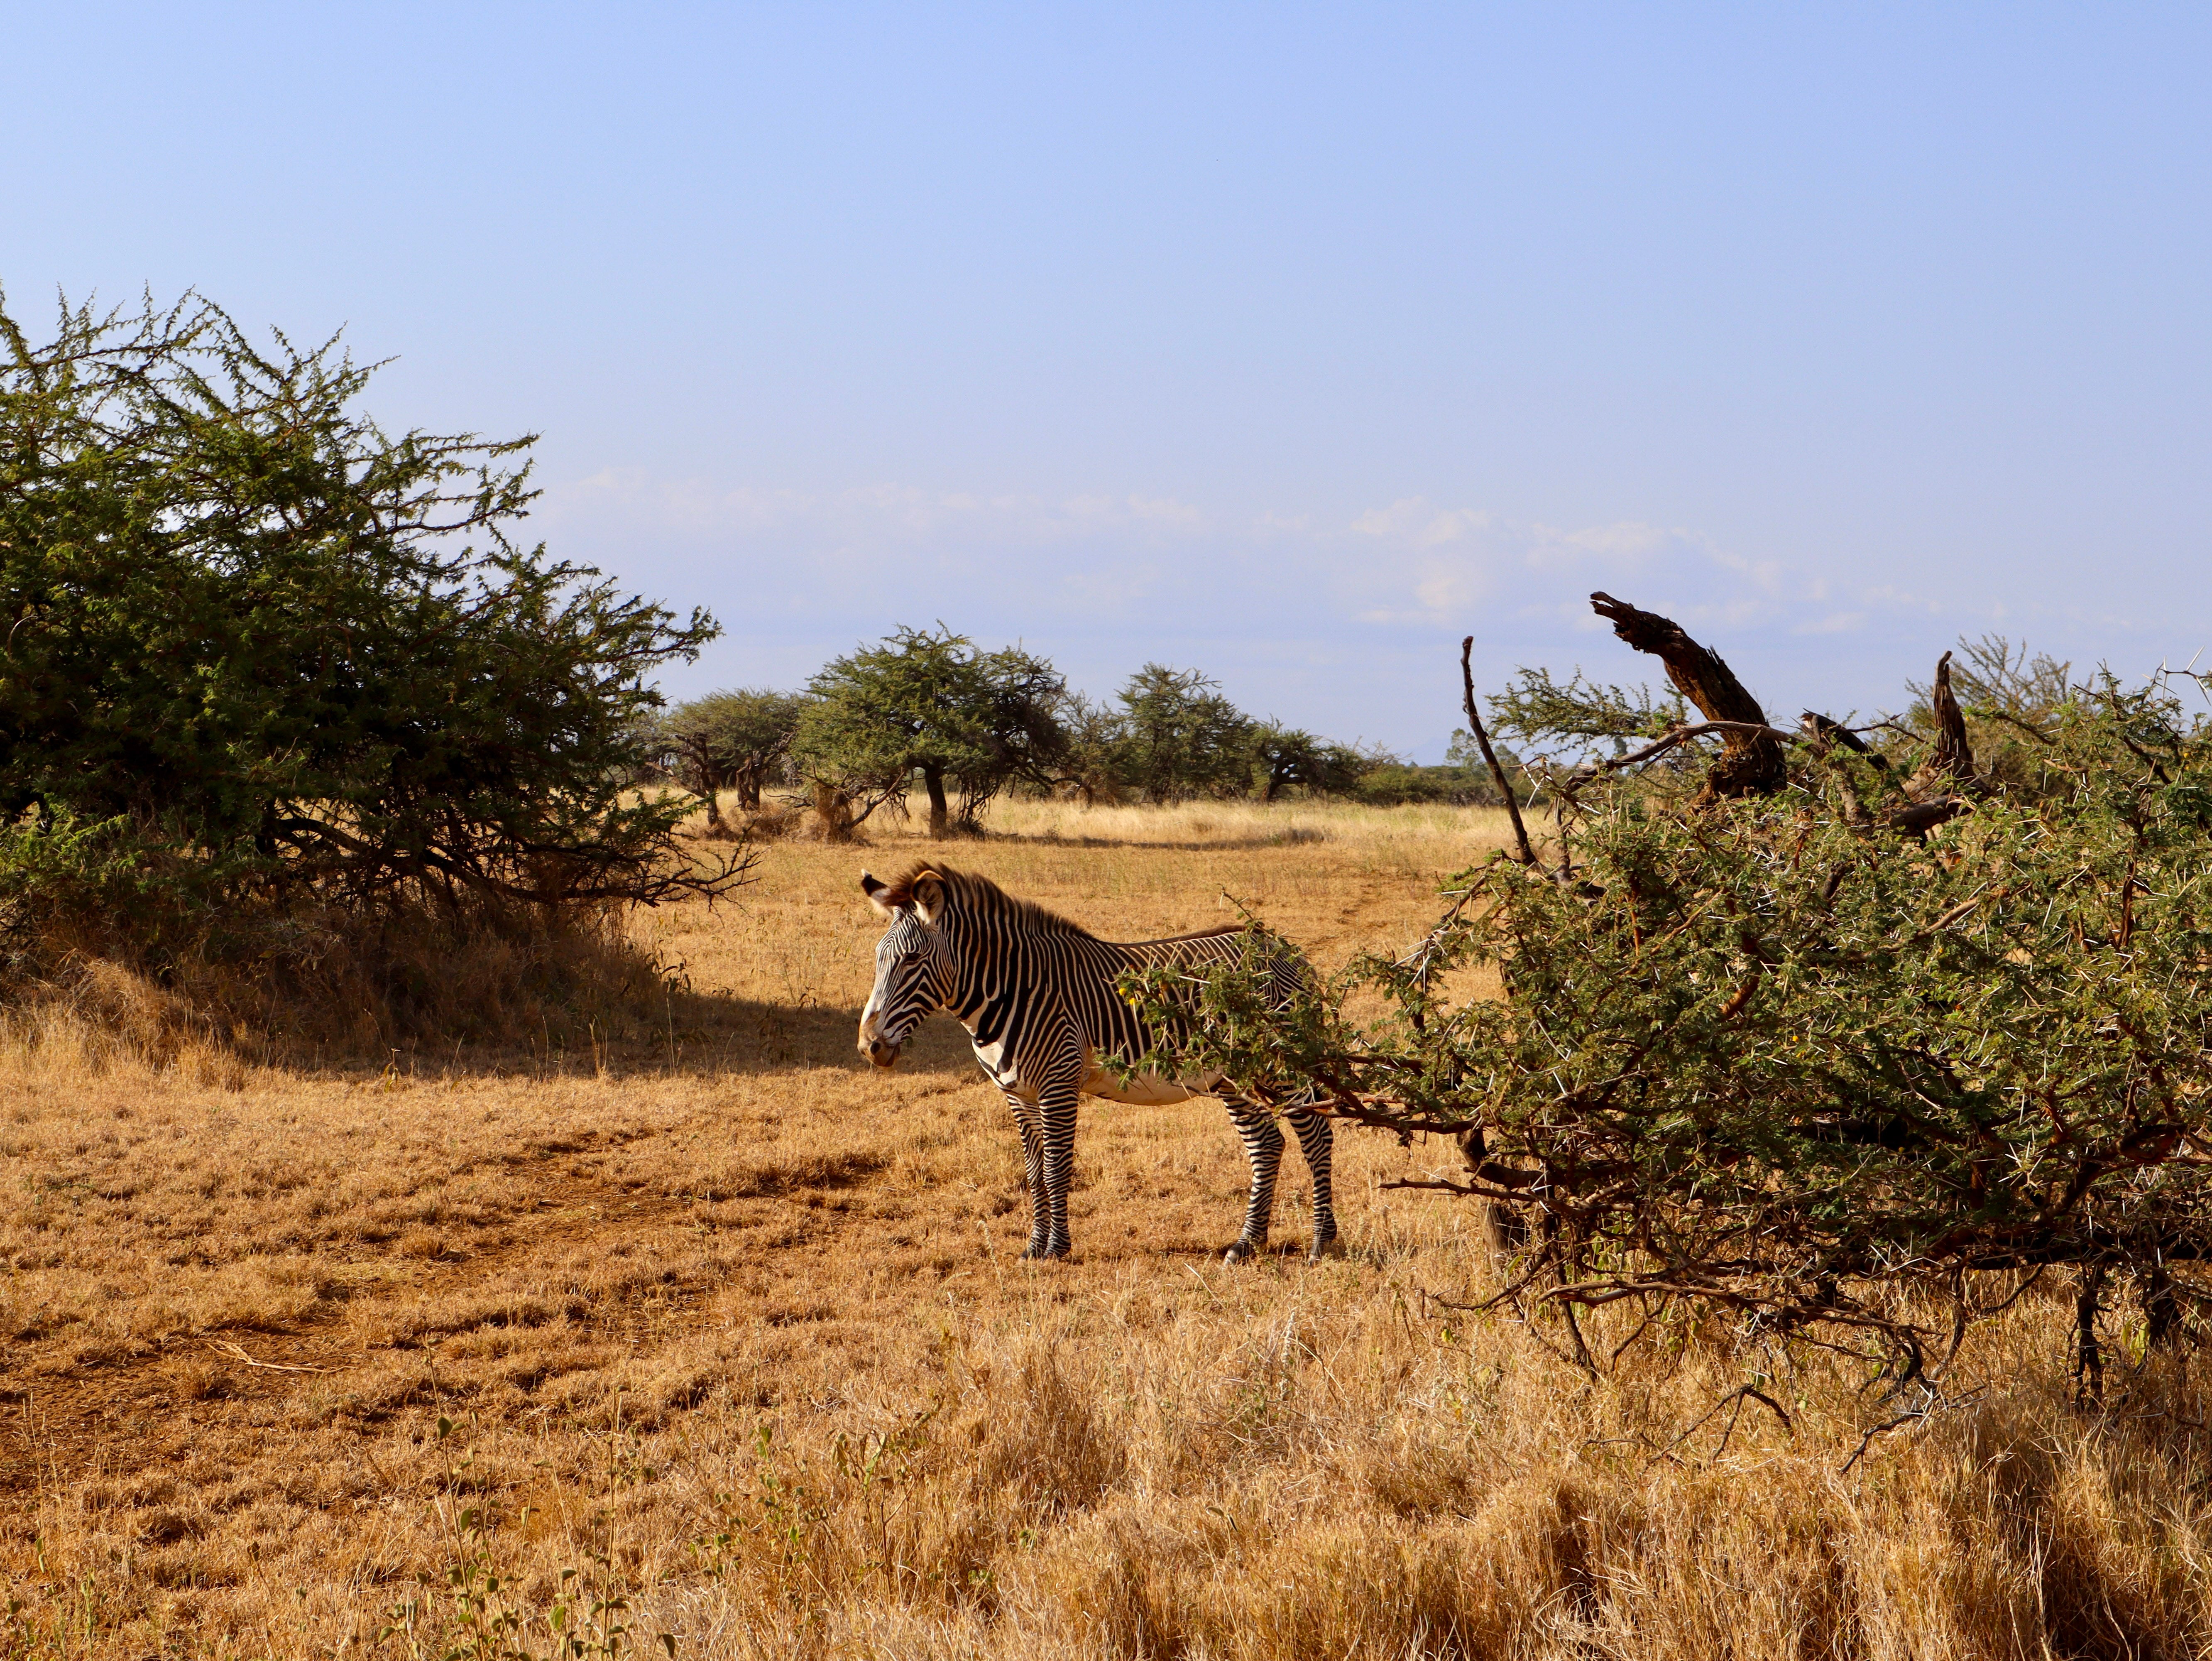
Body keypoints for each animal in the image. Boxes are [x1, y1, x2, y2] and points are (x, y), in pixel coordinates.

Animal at [857, 863, 1337, 1264]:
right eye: (878, 959)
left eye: (913, 960)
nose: (869, 1046)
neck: (1012, 990)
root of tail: (1278, 946)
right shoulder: (1016, 1093)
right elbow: (1033, 1172)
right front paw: (1034, 1246)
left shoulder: (1059, 1084)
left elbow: (1056, 1169)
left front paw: (1057, 1248)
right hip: (1233, 1075)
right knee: (1266, 1144)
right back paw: (1247, 1244)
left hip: (1280, 1064)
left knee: (1317, 1135)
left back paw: (1321, 1242)